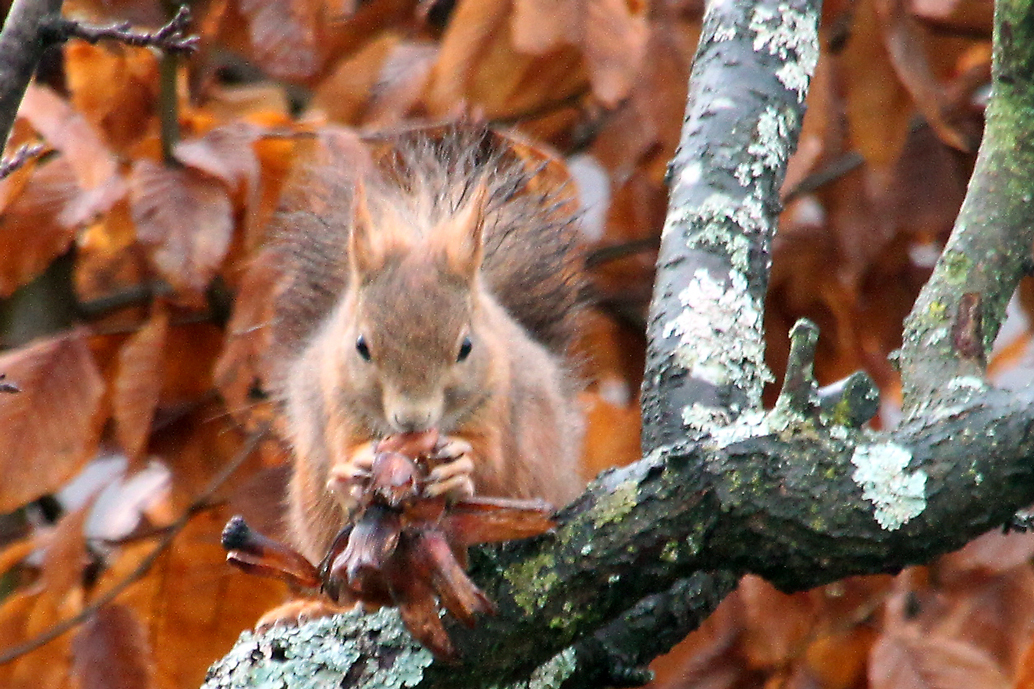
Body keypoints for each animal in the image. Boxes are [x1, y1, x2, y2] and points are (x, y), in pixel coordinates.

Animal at [260, 126, 583, 620]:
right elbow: (344, 448)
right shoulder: (338, 401)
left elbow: (495, 466)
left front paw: (462, 469)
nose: (412, 420)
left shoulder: (499, 402)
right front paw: (352, 469)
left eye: (466, 347)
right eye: (362, 347)